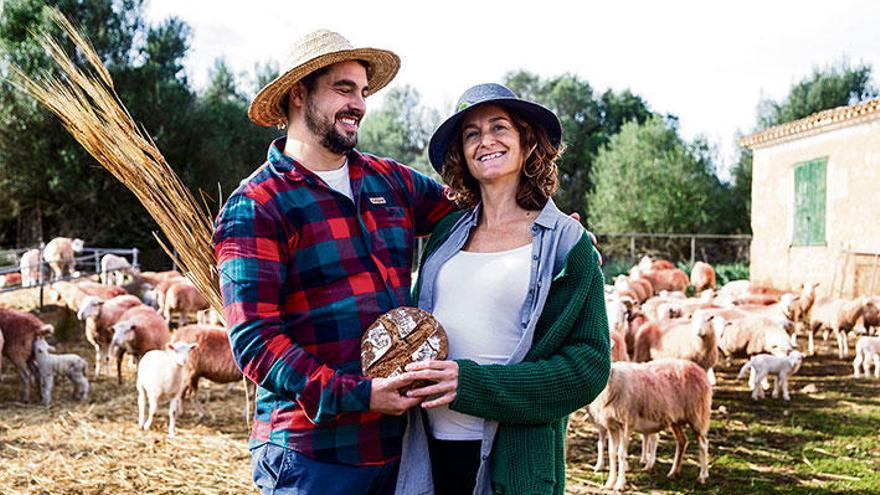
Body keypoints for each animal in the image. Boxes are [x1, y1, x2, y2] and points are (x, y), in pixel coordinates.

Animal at [588, 358, 712, 490]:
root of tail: (698, 368)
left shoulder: (627, 424)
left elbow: (621, 454)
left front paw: (620, 484)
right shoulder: (612, 426)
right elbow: (612, 453)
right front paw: (610, 483)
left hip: (697, 414)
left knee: (703, 443)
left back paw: (702, 476)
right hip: (676, 419)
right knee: (682, 441)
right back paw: (673, 472)